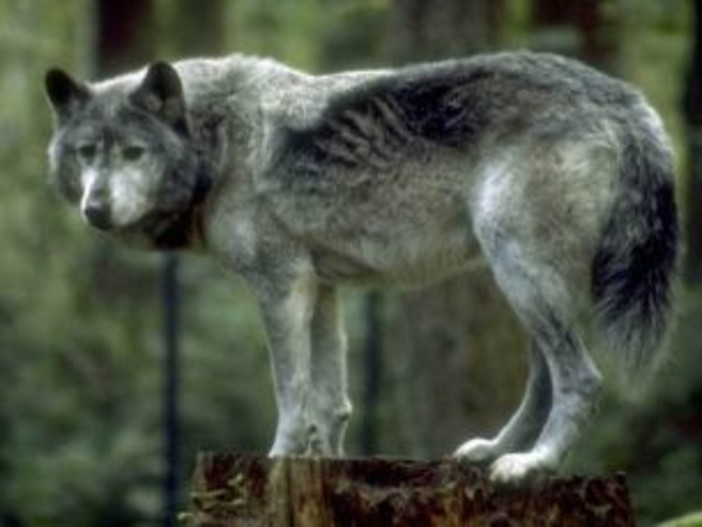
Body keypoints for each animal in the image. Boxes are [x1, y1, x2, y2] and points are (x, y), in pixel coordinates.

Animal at [44, 51, 679, 484]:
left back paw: (532, 465)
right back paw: (497, 453)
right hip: (522, 284)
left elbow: (292, 394)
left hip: (520, 274)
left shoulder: (281, 286)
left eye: (133, 153)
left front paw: (277, 462)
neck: (218, 142)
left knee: (583, 380)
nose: (95, 209)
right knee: (547, 379)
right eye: (87, 153)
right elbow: (331, 403)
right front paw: (325, 467)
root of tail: (624, 98)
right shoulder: (321, 288)